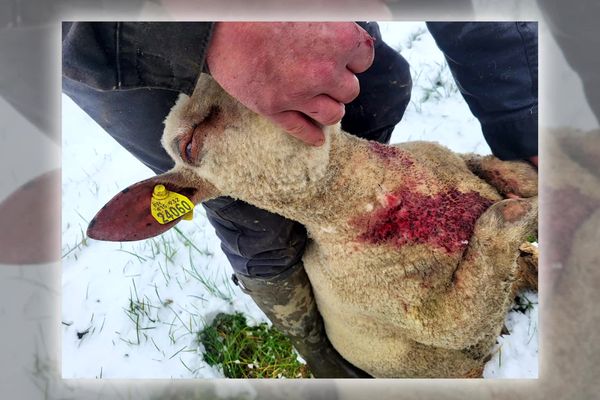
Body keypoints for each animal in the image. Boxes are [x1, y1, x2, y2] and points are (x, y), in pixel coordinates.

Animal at [85, 74, 540, 378]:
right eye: (189, 145)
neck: (370, 195)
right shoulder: (430, 318)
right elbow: (481, 276)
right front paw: (518, 213)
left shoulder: (457, 161)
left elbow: (507, 172)